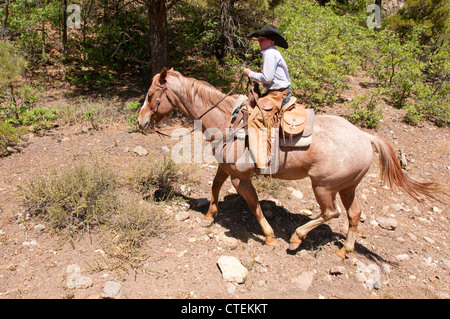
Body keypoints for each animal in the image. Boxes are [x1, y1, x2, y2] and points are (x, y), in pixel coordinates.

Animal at [138, 67, 442, 260]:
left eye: (152, 95)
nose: (140, 121)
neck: (226, 121)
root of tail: (366, 137)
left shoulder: (240, 177)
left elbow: (254, 205)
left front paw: (270, 236)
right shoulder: (225, 168)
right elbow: (214, 188)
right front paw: (209, 216)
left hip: (323, 186)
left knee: (331, 213)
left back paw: (296, 238)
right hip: (348, 187)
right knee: (354, 214)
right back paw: (345, 251)